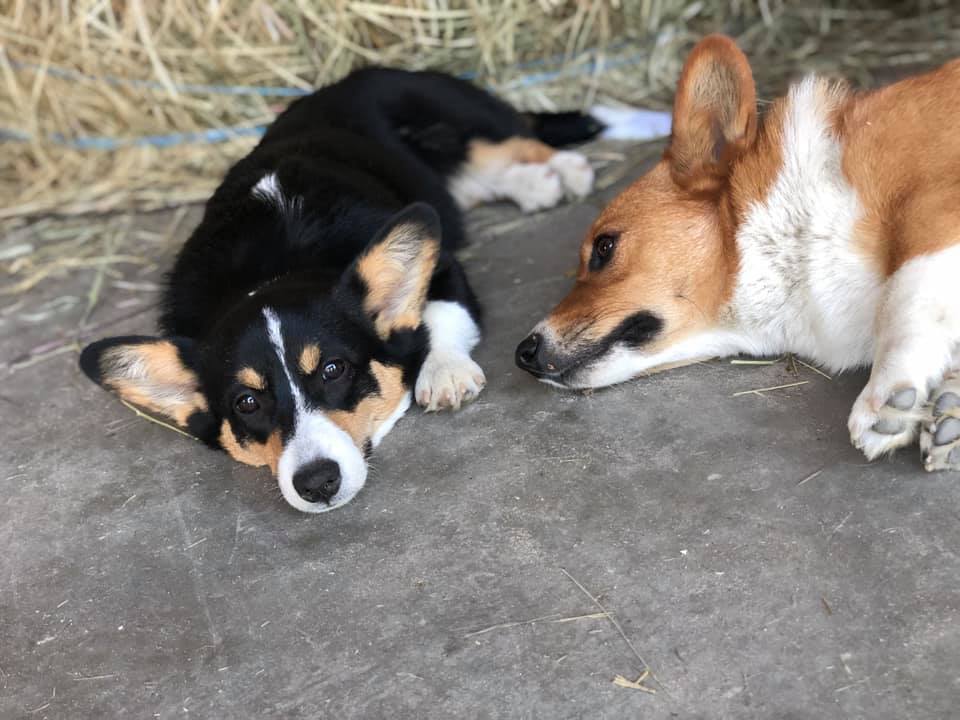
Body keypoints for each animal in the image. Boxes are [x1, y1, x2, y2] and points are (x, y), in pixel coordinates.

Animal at [82, 66, 600, 506]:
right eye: (246, 402)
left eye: (333, 370)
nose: (317, 484)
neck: (276, 266)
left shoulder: (446, 269)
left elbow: (439, 313)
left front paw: (444, 373)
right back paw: (534, 185)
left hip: (455, 121)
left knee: (511, 143)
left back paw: (565, 172)